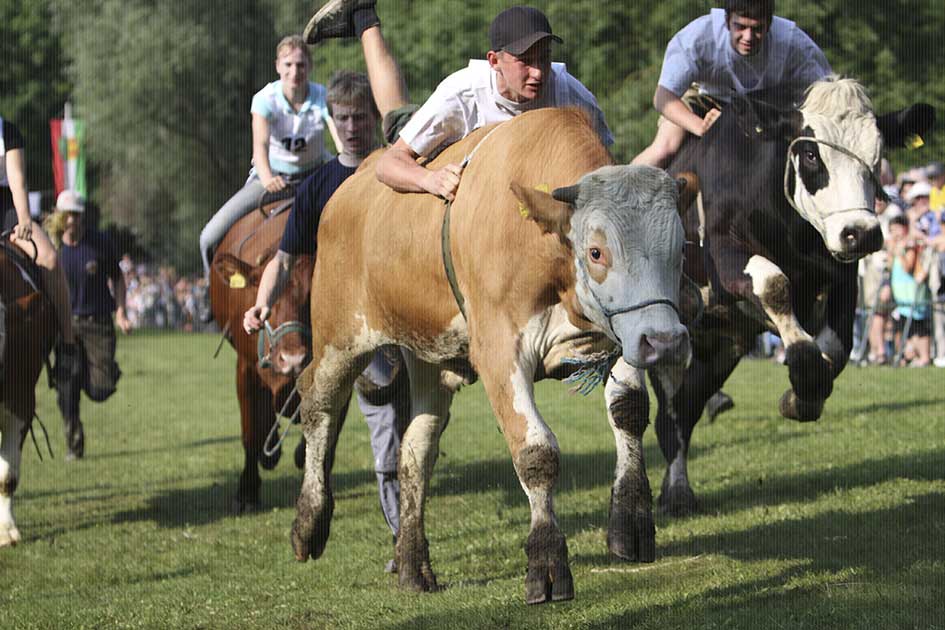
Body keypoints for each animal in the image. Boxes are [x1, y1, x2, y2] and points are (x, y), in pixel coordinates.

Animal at [207, 200, 314, 516]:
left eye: (312, 296)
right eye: (267, 300)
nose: (293, 359)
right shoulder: (245, 369)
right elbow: (251, 432)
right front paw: (247, 491)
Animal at [652, 76, 932, 516]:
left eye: (878, 154)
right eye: (812, 154)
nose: (861, 232)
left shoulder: (842, 275)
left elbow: (836, 348)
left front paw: (803, 397)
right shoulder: (726, 253)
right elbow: (773, 285)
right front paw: (801, 369)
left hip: (721, 344)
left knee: (689, 405)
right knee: (670, 415)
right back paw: (677, 492)